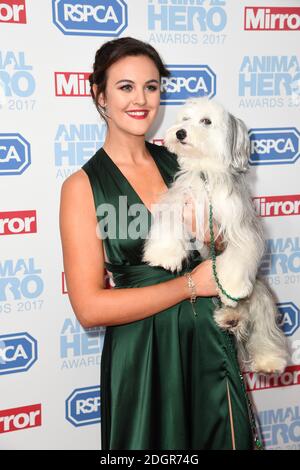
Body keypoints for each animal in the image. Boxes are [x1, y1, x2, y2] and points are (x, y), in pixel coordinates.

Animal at [143, 96, 288, 374]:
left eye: (206, 121)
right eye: (185, 118)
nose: (180, 132)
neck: (205, 174)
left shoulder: (241, 226)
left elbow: (237, 258)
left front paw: (231, 286)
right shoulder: (179, 201)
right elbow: (168, 227)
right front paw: (164, 254)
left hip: (261, 293)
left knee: (263, 327)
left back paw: (268, 357)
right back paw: (230, 317)